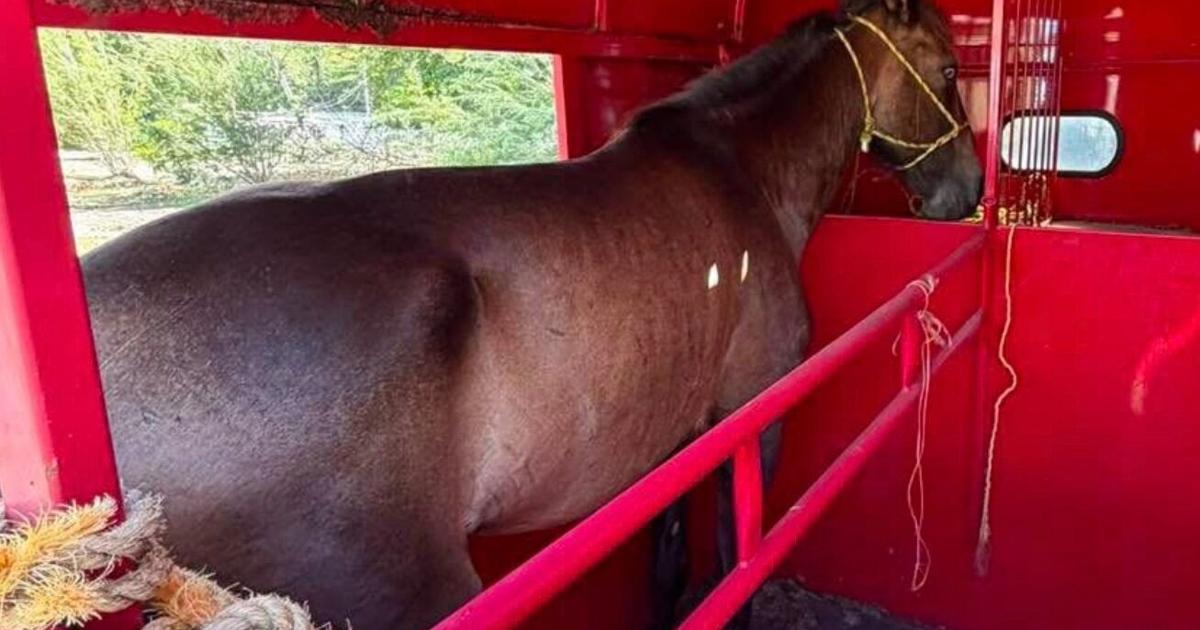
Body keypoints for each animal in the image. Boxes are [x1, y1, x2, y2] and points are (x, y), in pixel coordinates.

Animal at [84, 0, 980, 626]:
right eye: (946, 71)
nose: (967, 190)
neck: (740, 174)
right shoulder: (749, 424)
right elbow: (736, 565)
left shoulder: (673, 440)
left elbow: (670, 564)